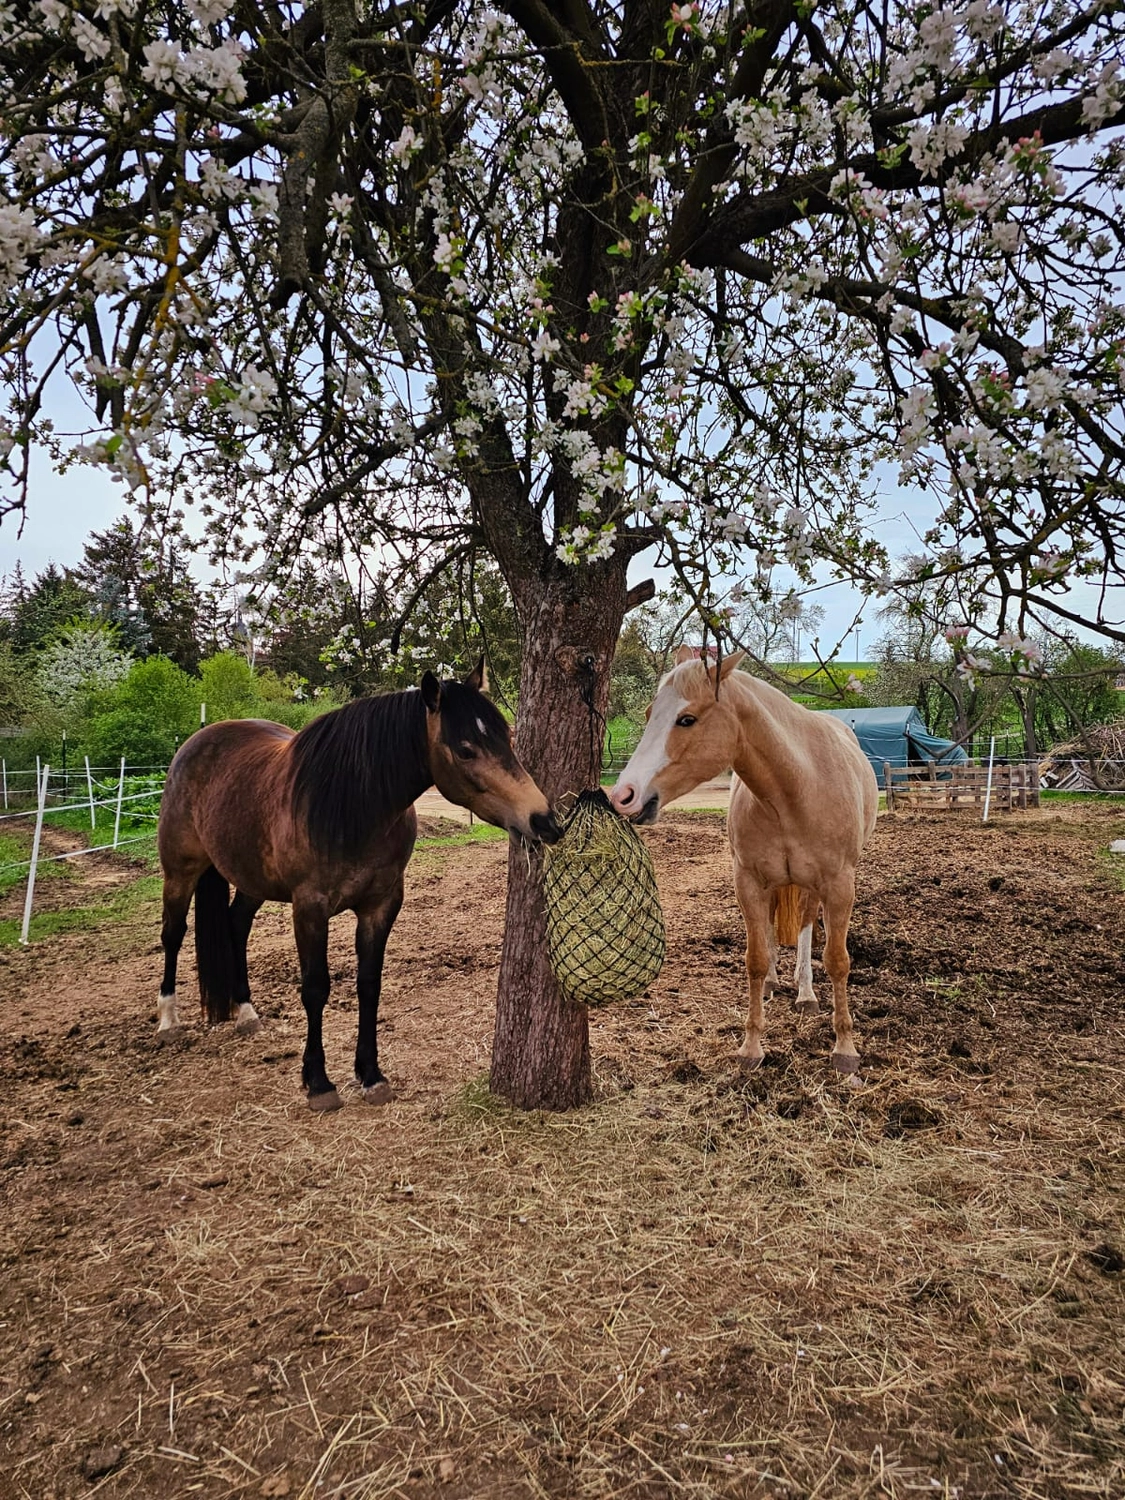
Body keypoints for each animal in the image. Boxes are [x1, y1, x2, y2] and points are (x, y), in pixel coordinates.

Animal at [156, 660, 559, 1111]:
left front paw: (370, 1074)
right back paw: (168, 1021)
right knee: (173, 933)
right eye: (466, 749)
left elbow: (369, 984)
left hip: (251, 880)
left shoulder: (380, 905)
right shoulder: (309, 908)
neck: (354, 805)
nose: (543, 820)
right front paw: (318, 1082)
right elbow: (315, 988)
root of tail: (197, 742)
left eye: (507, 737)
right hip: (180, 870)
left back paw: (245, 1012)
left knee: (235, 926)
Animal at [609, 650, 877, 1075]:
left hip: (814, 887)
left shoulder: (839, 885)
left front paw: (845, 1049)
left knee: (805, 924)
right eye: (651, 713)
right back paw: (774, 984)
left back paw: (805, 993)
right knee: (770, 927)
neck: (796, 786)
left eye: (687, 719)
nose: (623, 795)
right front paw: (751, 1047)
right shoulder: (748, 881)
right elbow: (755, 959)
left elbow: (837, 961)